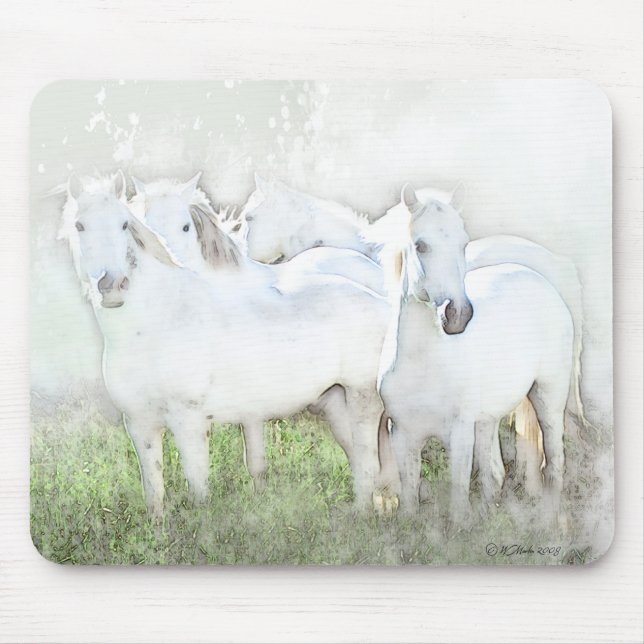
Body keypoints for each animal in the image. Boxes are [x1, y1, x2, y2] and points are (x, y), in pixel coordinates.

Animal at [60, 171, 391, 518]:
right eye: (80, 226)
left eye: (124, 224)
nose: (112, 285)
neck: (159, 321)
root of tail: (382, 302)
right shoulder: (139, 424)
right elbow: (154, 492)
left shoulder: (189, 421)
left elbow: (198, 487)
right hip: (336, 402)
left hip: (362, 398)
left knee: (369, 461)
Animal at [377, 185, 576, 525]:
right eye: (421, 245)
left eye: (463, 244)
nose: (457, 314)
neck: (423, 365)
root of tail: (541, 281)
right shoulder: (402, 434)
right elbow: (410, 495)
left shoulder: (459, 433)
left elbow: (458, 497)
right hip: (487, 419)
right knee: (494, 476)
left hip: (548, 398)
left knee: (554, 464)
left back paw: (548, 523)